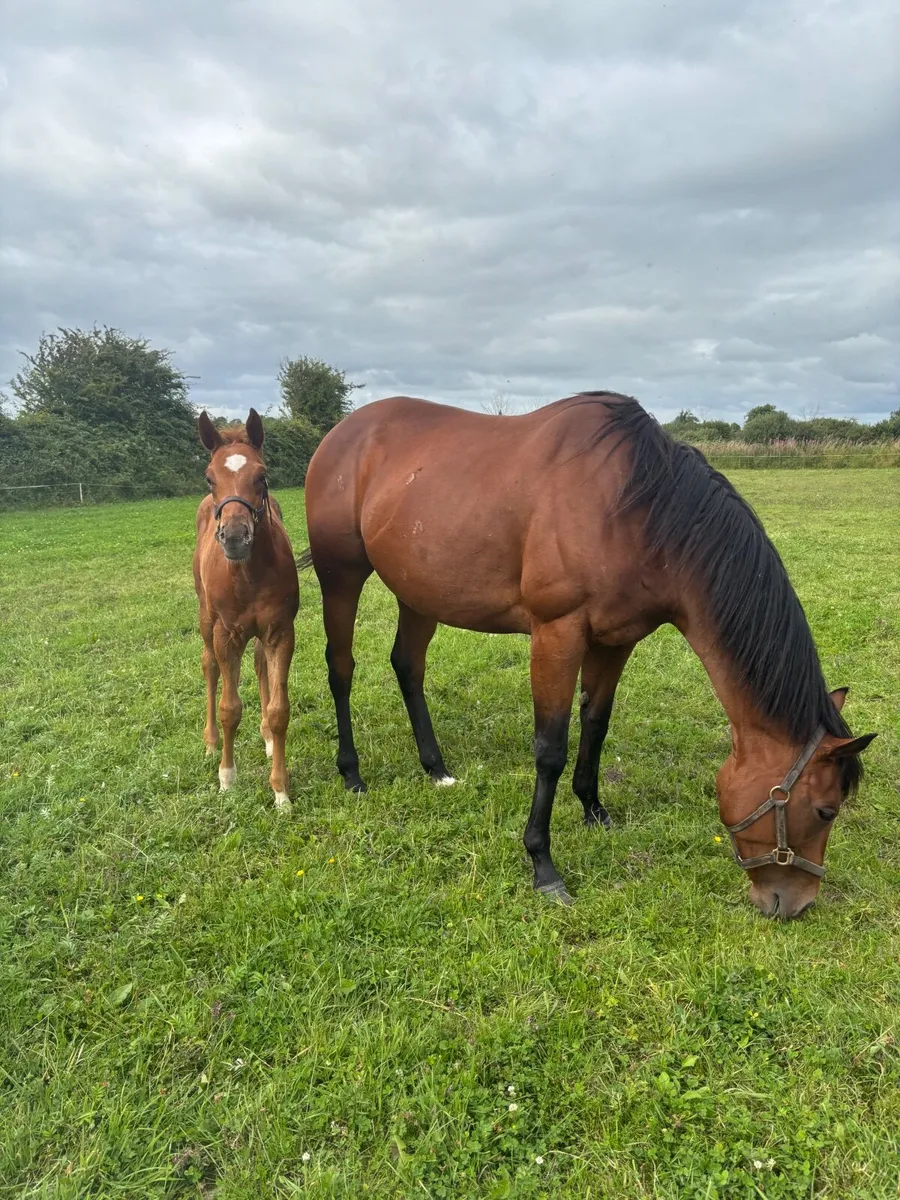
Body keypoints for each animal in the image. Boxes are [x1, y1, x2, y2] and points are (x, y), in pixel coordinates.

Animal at [193, 409, 299, 811]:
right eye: (210, 477)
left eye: (262, 475)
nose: (236, 537)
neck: (248, 574)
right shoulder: (227, 634)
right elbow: (230, 708)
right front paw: (227, 778)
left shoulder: (280, 632)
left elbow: (280, 710)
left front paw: (281, 791)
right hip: (206, 619)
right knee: (209, 667)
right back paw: (210, 744)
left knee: (258, 666)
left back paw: (266, 737)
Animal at [300, 392, 876, 918]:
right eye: (825, 811)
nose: (794, 904)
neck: (634, 509)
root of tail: (341, 434)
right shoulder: (557, 633)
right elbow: (550, 748)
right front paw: (543, 864)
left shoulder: (615, 641)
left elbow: (596, 724)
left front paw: (594, 808)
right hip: (341, 576)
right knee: (341, 668)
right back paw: (351, 774)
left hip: (419, 592)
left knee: (408, 666)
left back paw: (436, 768)